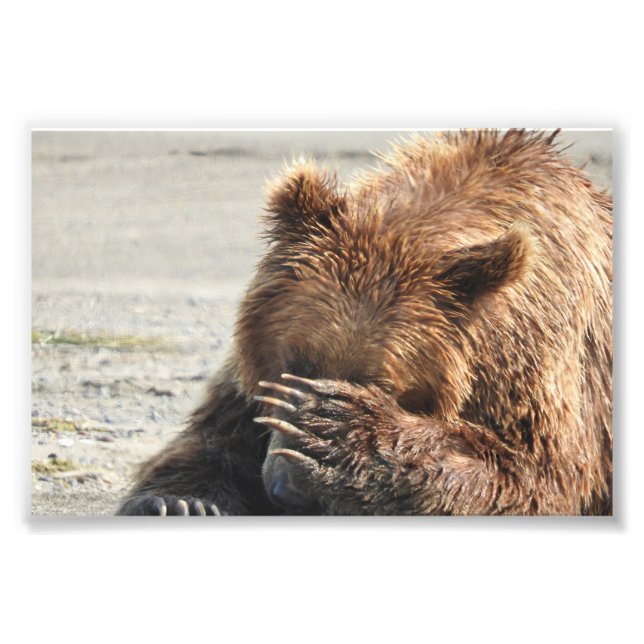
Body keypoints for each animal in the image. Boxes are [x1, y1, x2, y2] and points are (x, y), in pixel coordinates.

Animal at [117, 129, 612, 516]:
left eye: (384, 384)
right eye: (295, 362)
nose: (287, 491)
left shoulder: (533, 366)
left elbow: (535, 475)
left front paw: (341, 430)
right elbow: (218, 432)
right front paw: (179, 501)